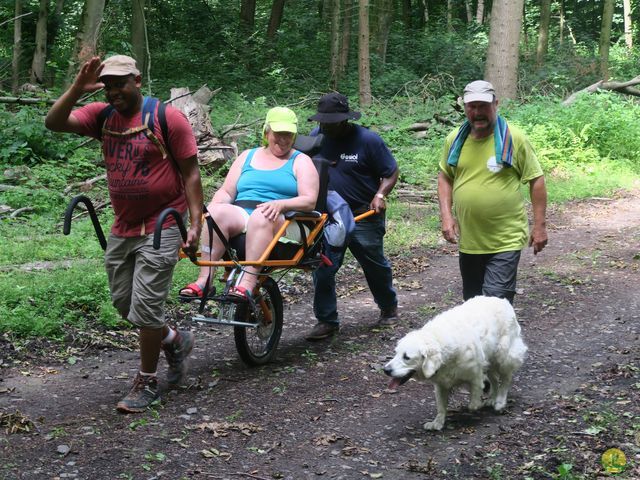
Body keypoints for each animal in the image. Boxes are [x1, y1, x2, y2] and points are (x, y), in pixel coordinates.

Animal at [384, 296, 524, 432]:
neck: (440, 343)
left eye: (406, 357)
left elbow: (474, 400)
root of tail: (502, 300)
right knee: (494, 379)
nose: (386, 370)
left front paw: (475, 406)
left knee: (506, 379)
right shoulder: (440, 384)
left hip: (503, 355)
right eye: (396, 353)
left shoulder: (476, 373)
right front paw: (437, 422)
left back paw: (500, 402)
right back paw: (492, 398)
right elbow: (441, 406)